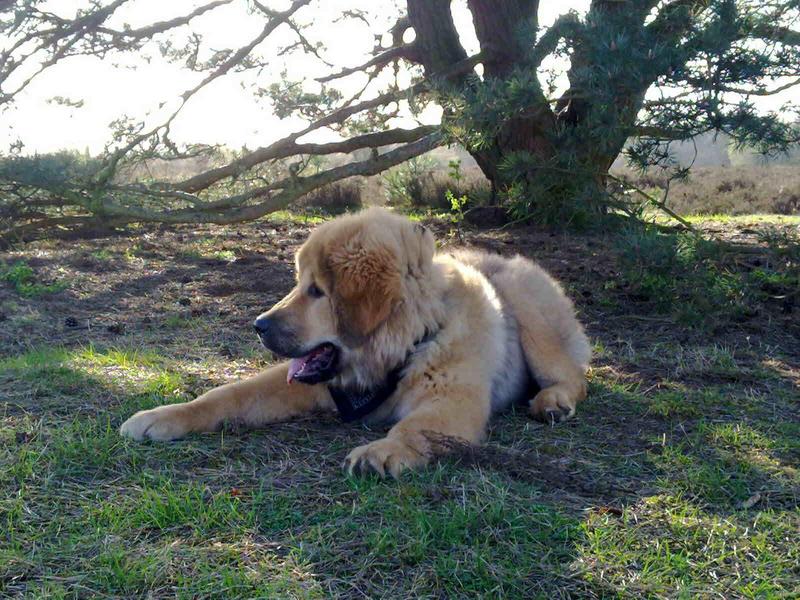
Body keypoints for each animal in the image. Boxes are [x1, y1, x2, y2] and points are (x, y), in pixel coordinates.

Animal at [120, 209, 592, 476]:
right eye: (300, 284)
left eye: (317, 291)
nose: (259, 325)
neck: (409, 345)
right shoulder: (310, 385)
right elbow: (227, 394)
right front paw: (163, 416)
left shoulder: (452, 400)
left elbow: (414, 428)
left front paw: (384, 450)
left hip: (531, 314)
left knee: (574, 377)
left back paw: (553, 401)